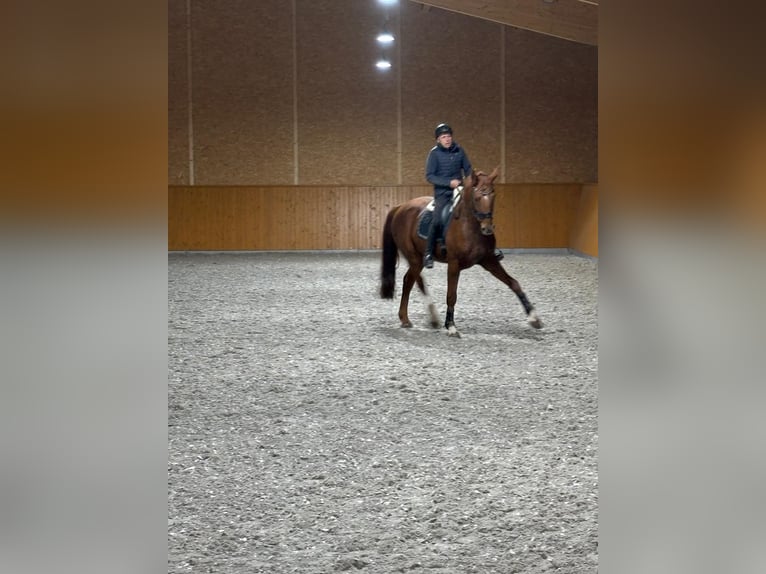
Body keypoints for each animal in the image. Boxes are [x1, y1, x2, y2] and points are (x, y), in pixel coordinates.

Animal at [379, 167, 542, 337]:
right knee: (408, 281)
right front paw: (451, 326)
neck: (470, 227)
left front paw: (534, 318)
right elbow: (451, 295)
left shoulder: (489, 260)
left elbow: (514, 283)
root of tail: (400, 207)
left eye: (493, 195)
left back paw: (432, 318)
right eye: (477, 198)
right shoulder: (454, 263)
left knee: (417, 281)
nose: (487, 229)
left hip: (416, 259)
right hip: (414, 257)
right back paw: (405, 318)